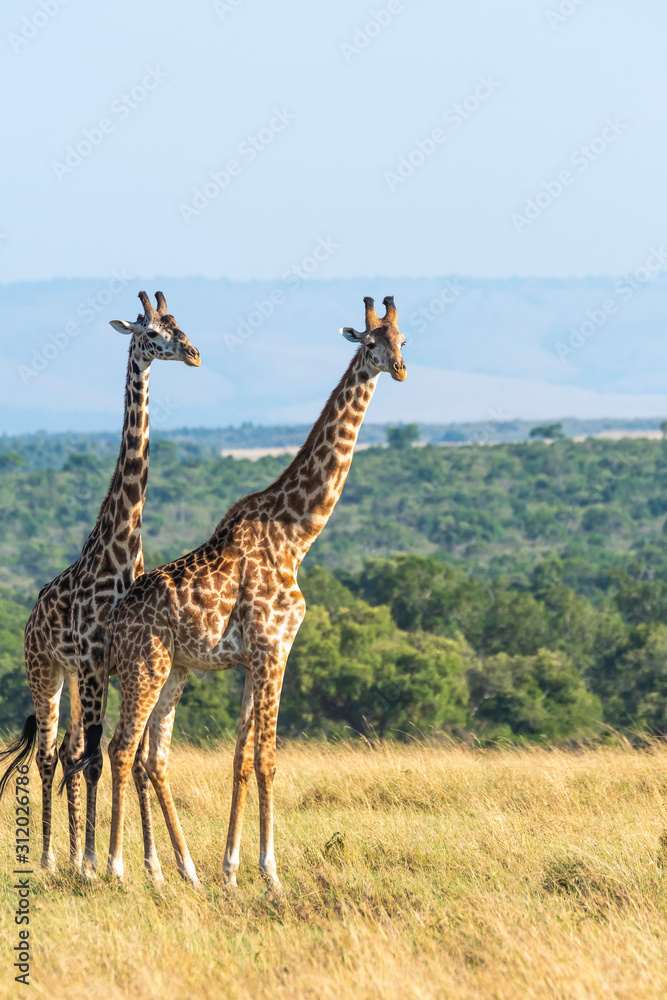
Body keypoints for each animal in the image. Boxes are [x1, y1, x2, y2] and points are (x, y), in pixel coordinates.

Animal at [0, 291, 201, 876]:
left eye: (179, 325)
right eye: (150, 331)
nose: (194, 354)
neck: (121, 546)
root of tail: (29, 620)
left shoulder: (110, 665)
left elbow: (111, 755)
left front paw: (141, 863)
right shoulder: (91, 662)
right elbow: (93, 759)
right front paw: (95, 860)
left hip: (73, 679)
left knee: (69, 750)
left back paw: (69, 854)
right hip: (45, 673)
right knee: (50, 755)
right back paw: (49, 857)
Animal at [103, 295, 406, 889]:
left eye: (402, 339)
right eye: (369, 342)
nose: (400, 369)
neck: (298, 535)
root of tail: (114, 621)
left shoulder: (253, 658)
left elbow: (241, 756)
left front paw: (230, 869)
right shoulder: (273, 648)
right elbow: (267, 757)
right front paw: (270, 871)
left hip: (174, 670)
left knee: (149, 755)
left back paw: (175, 869)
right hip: (144, 667)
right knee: (122, 749)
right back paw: (116, 868)